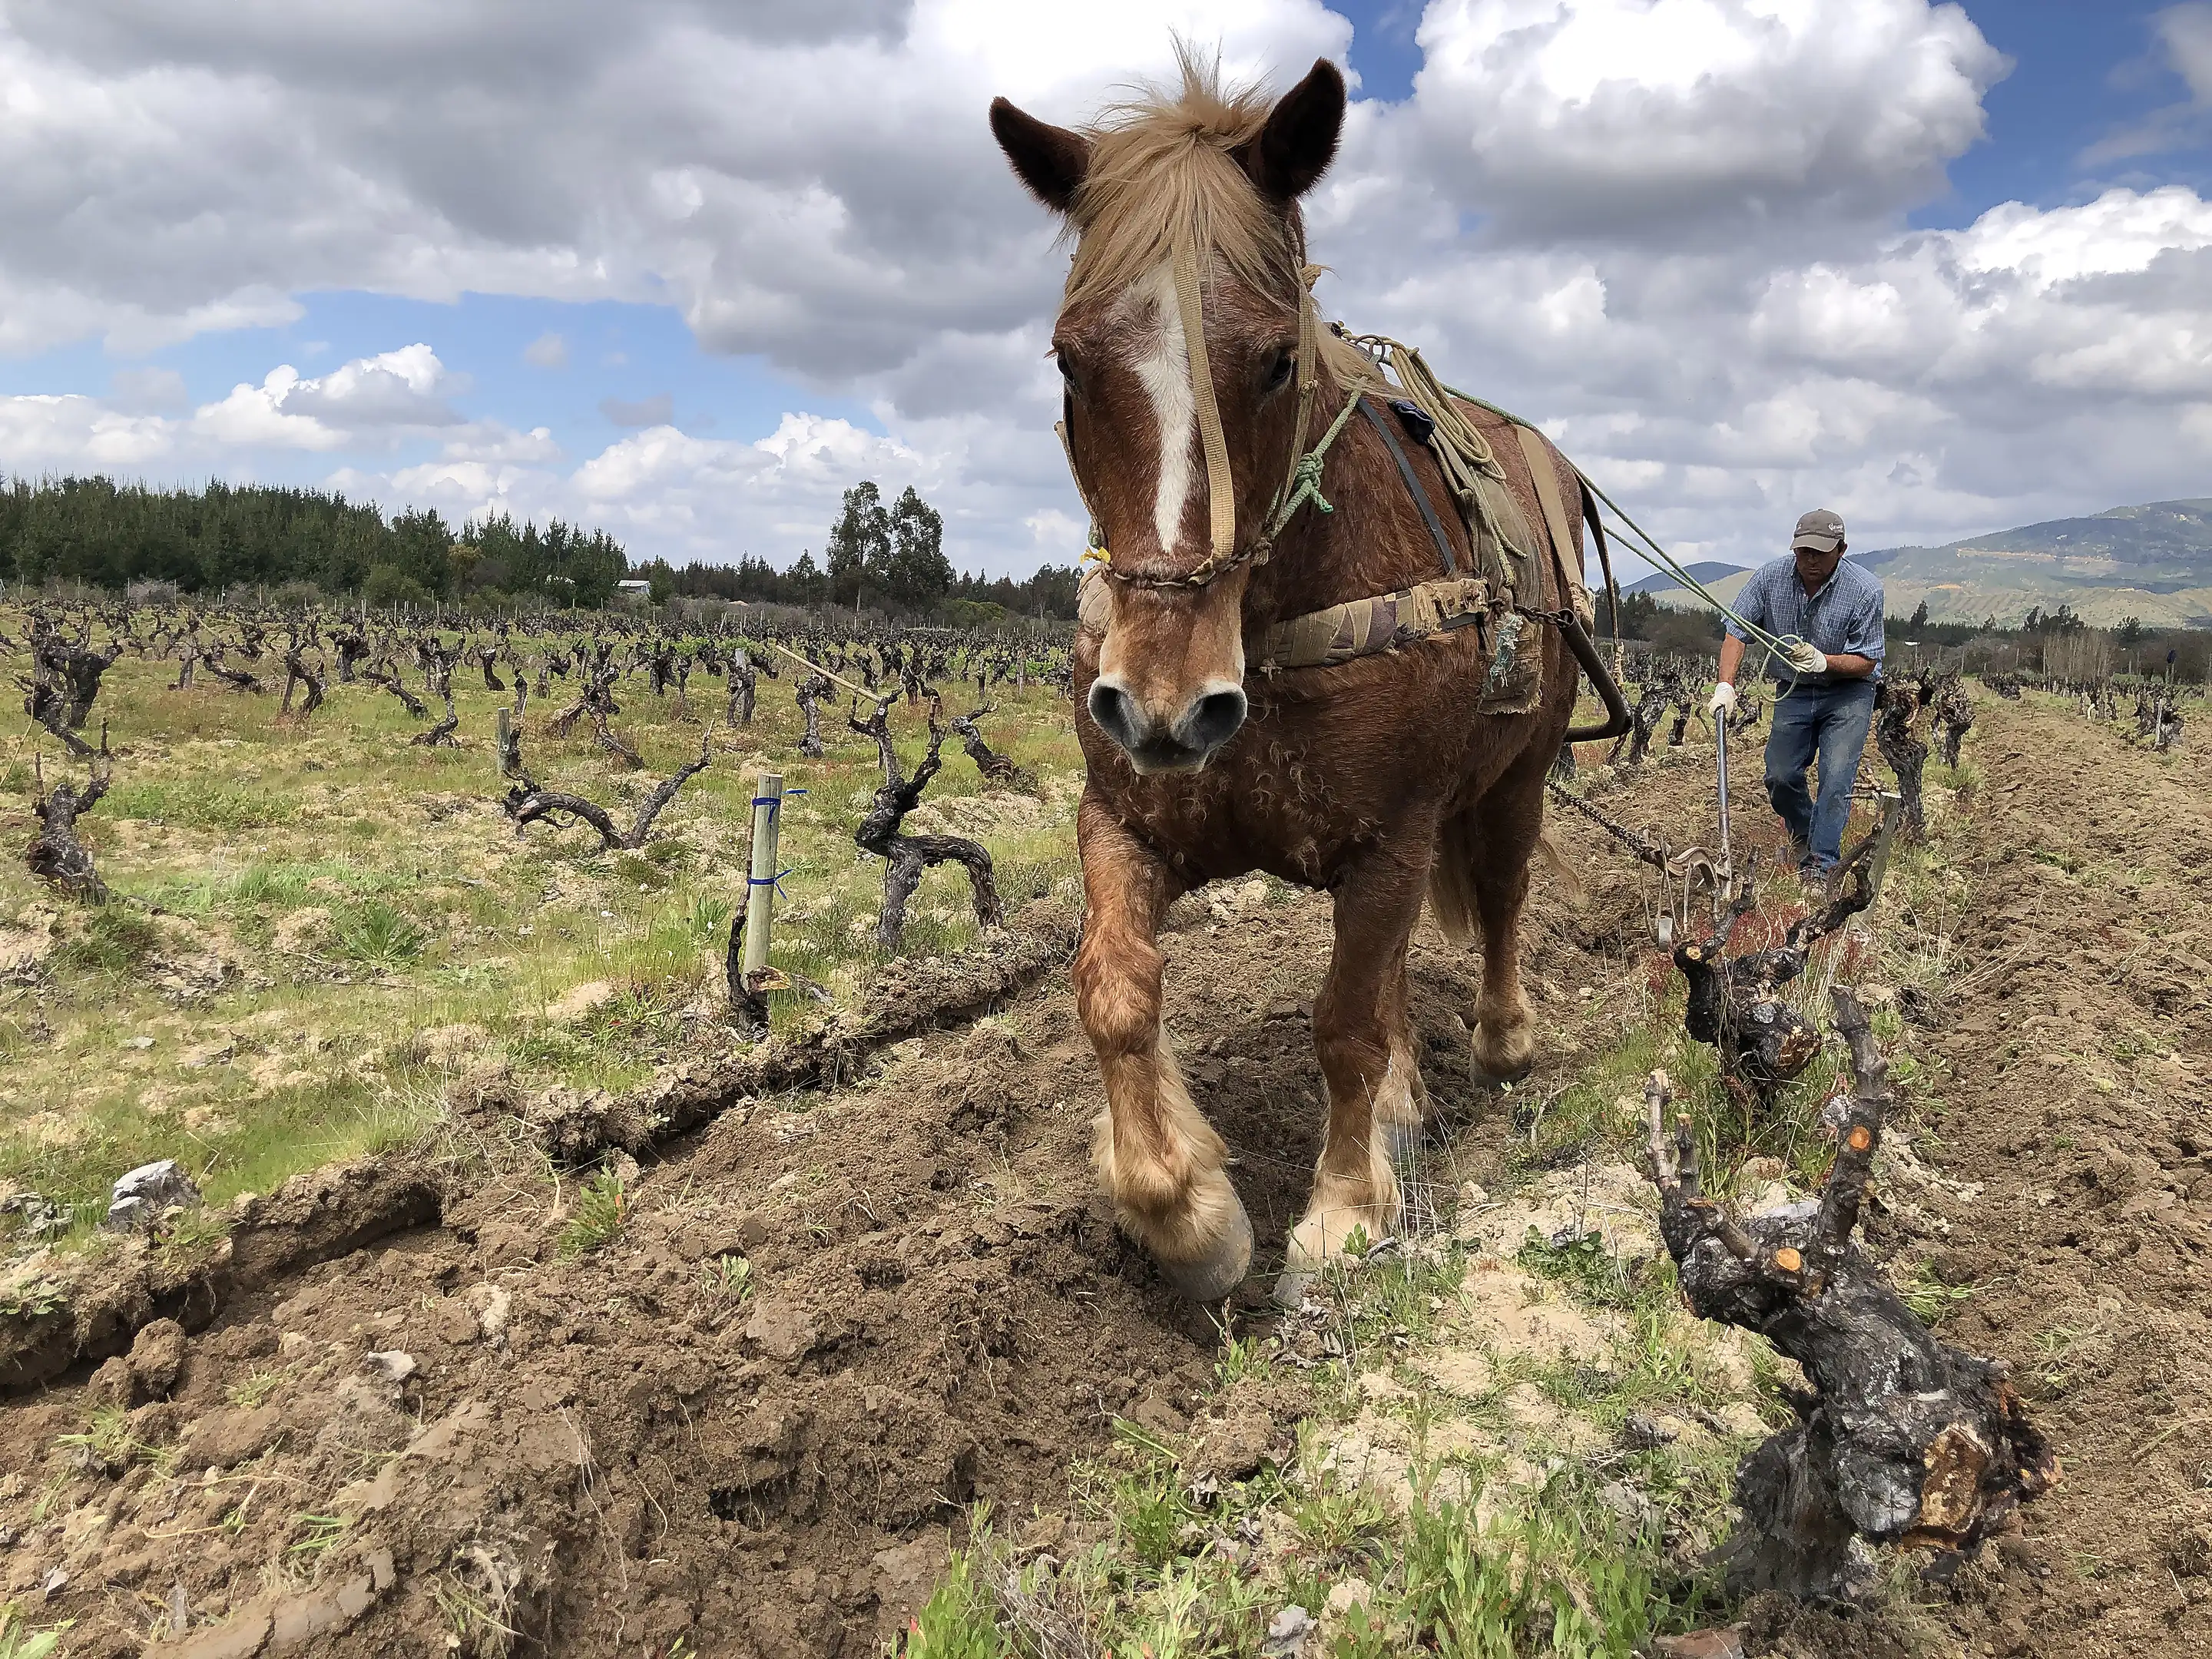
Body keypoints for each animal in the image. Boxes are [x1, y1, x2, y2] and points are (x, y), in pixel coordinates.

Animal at [990, 53, 1617, 1302]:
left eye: (1279, 360)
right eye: (1070, 359)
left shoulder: (1393, 836)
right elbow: (1115, 992)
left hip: (1511, 778)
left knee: (1500, 896)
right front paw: (1185, 1212)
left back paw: (1499, 1041)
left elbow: (1344, 1022)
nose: (1167, 707)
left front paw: (1341, 1211)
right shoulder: (1122, 818)